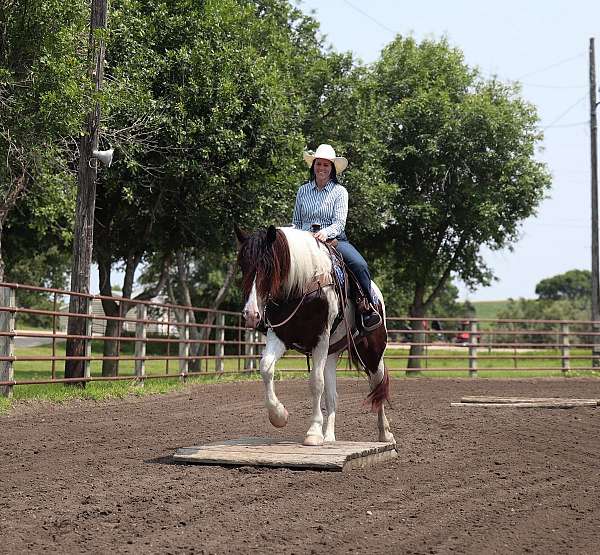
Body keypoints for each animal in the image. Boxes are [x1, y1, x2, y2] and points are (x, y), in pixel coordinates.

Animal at [234, 226, 394, 448]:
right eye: (242, 265)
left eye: (268, 265)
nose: (251, 314)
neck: (303, 286)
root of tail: (376, 295)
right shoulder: (279, 336)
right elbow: (266, 368)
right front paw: (279, 416)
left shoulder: (321, 338)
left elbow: (316, 383)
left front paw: (313, 433)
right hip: (331, 354)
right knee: (332, 396)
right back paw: (330, 437)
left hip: (372, 353)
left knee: (377, 386)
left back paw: (385, 434)